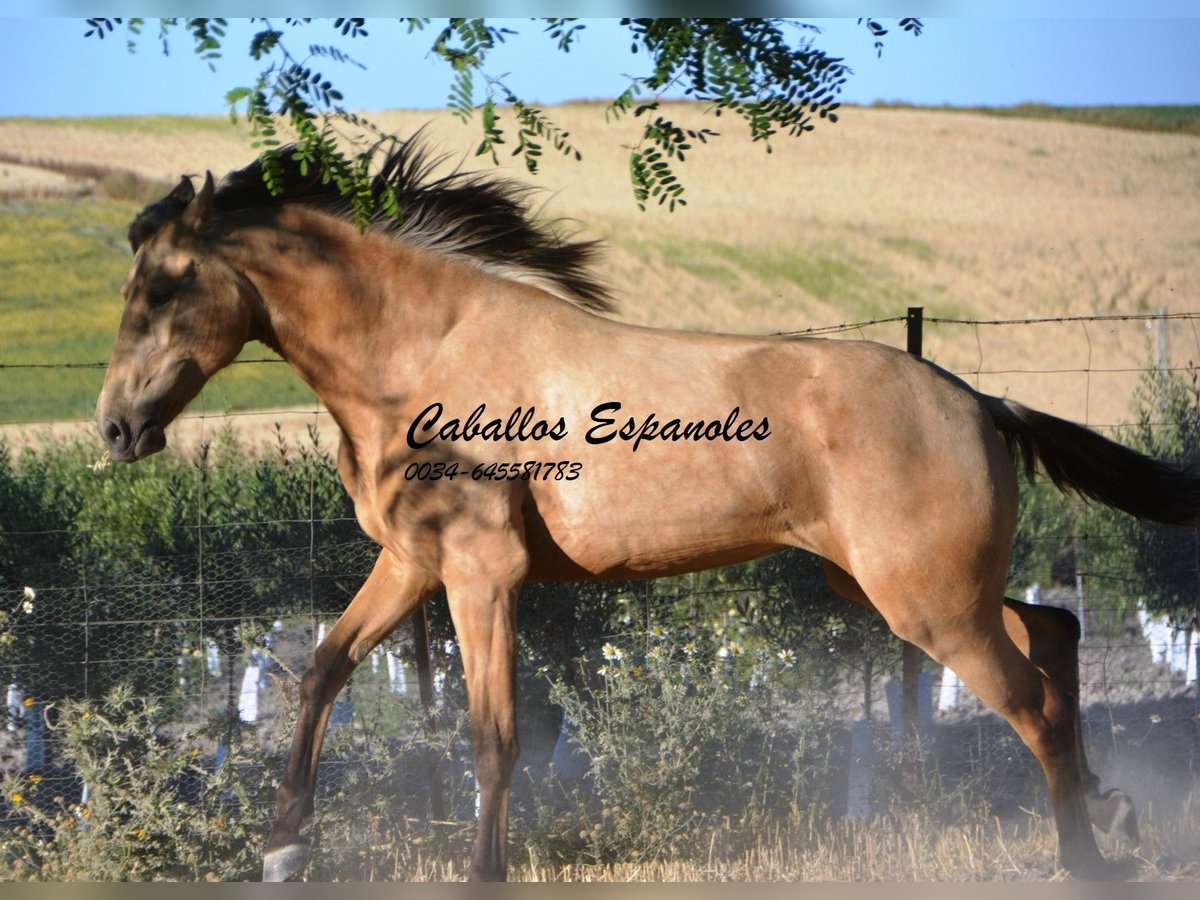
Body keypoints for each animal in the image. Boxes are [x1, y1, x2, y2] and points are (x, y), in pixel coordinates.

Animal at [98, 137, 1195, 883]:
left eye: (164, 286)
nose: (115, 428)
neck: (424, 353)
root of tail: (978, 401)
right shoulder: (413, 564)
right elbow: (323, 670)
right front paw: (281, 851)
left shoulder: (482, 576)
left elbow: (492, 733)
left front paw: (482, 876)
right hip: (903, 587)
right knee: (1054, 637)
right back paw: (1114, 815)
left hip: (924, 601)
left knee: (1029, 700)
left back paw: (1088, 861)